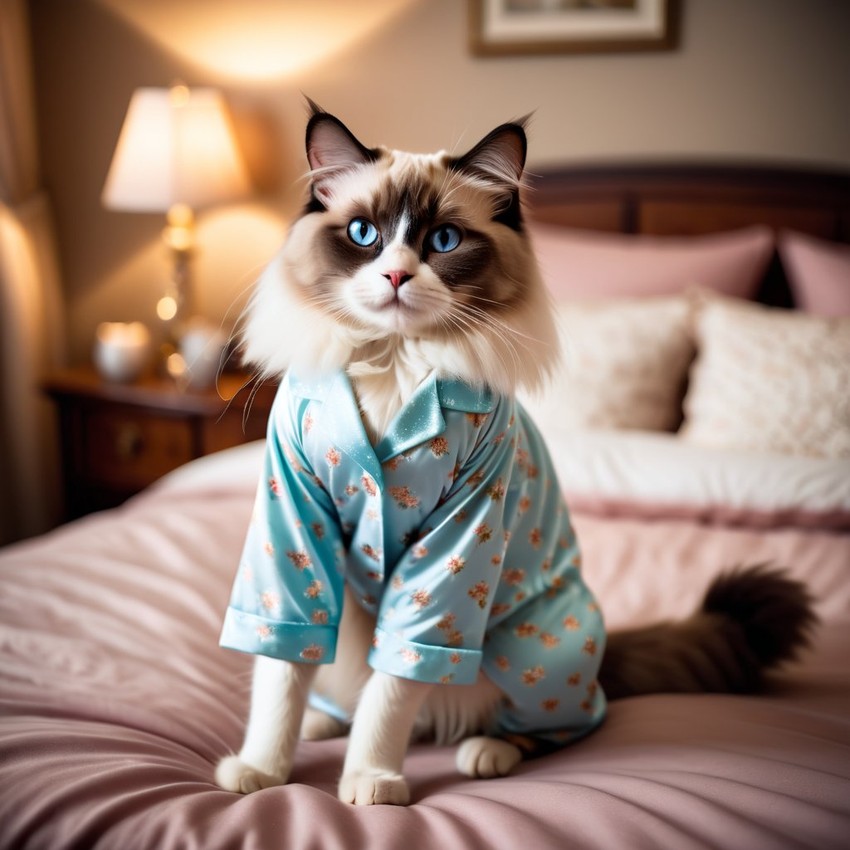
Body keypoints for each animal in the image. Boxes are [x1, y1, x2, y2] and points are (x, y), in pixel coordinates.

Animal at [214, 104, 816, 800]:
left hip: (533, 650)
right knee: (333, 679)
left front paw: (370, 782)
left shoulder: (453, 548)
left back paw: (487, 751)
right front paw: (261, 771)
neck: (394, 367)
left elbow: (393, 692)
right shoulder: (292, 531)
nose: (395, 275)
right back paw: (322, 723)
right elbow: (280, 675)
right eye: (364, 234)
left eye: (444, 241)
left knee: (559, 723)